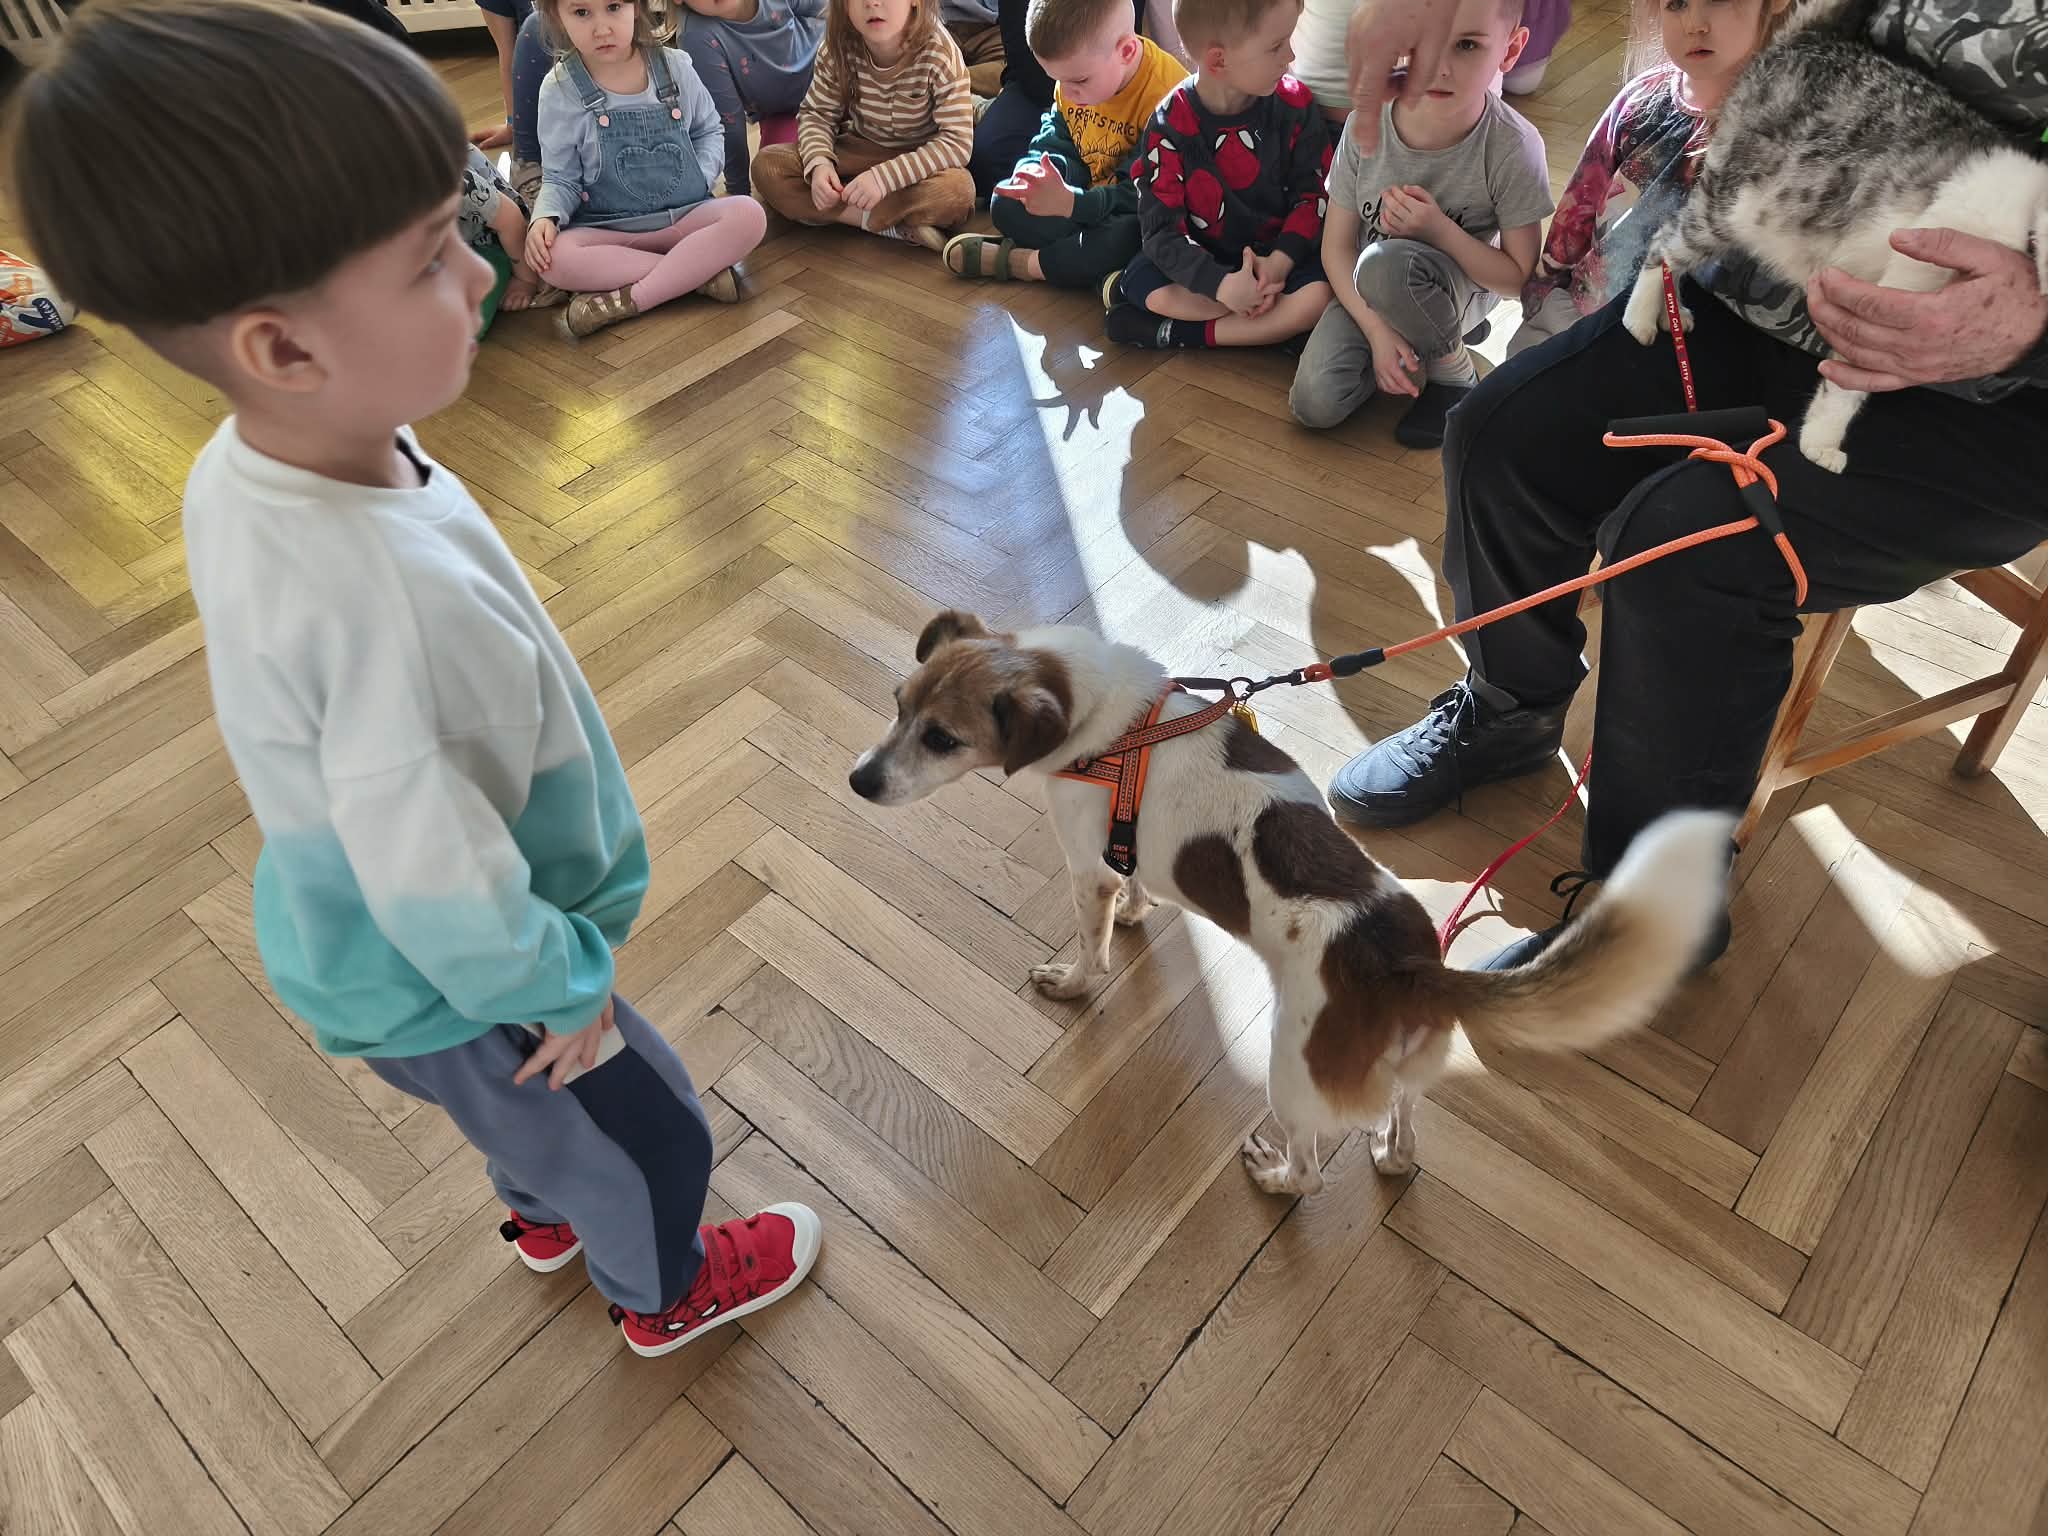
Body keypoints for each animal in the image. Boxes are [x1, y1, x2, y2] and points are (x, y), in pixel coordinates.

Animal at [850, 612, 1733, 1194]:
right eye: (896, 702)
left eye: (942, 738)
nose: (857, 781)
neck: (1112, 728)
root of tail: (1407, 966)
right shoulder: (1120, 851)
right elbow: (1134, 881)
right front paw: (1139, 909)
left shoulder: (1084, 869)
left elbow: (1091, 948)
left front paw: (1073, 982)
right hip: (1407, 1071)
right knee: (1403, 1125)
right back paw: (1390, 1158)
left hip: (1289, 1075)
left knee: (1311, 1168)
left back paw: (1274, 1176)